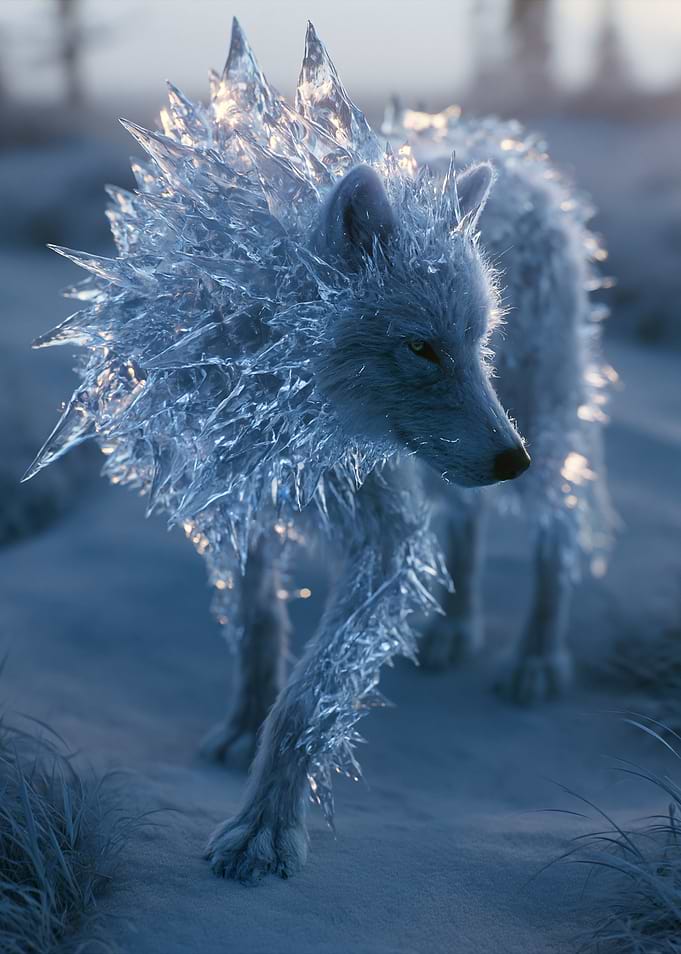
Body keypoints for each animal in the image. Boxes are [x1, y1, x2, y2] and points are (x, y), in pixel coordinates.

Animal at [28, 20, 550, 884]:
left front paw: (265, 829)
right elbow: (257, 625)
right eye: (421, 346)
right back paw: (454, 630)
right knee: (469, 525)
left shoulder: (385, 533)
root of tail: (494, 136)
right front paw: (244, 726)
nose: (512, 460)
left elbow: (311, 697)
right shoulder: (231, 497)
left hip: (551, 421)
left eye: (477, 341)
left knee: (563, 539)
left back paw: (536, 660)